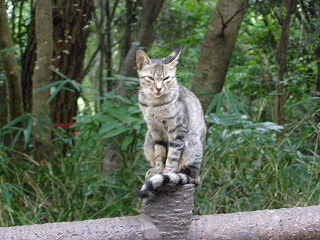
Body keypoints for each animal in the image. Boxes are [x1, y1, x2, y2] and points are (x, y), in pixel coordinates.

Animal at [136, 47, 206, 199]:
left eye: (166, 78)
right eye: (150, 78)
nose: (158, 88)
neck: (153, 104)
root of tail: (198, 176)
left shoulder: (177, 128)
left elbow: (172, 155)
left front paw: (167, 172)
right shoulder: (155, 129)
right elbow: (160, 154)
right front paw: (158, 171)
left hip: (192, 146)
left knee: (188, 173)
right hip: (148, 140)